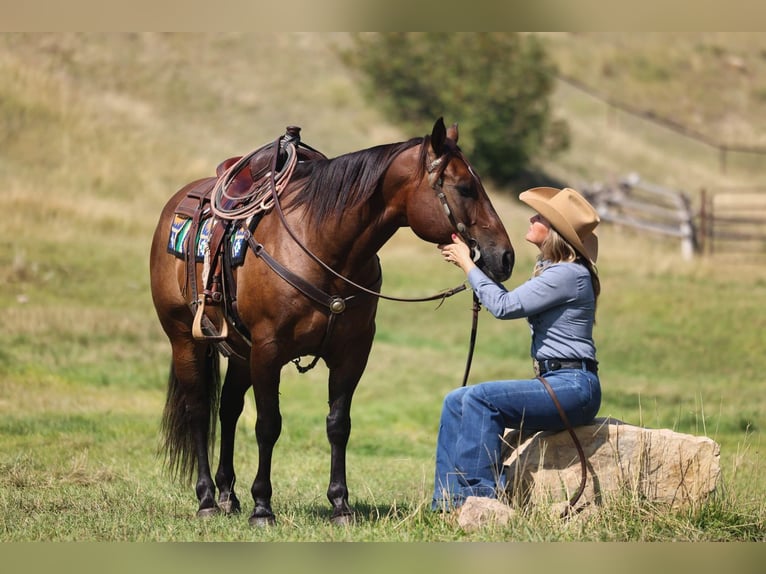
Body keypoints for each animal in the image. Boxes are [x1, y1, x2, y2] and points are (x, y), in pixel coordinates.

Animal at [149, 118, 514, 526]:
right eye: (465, 187)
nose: (505, 256)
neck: (323, 245)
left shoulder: (351, 352)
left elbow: (338, 424)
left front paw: (340, 504)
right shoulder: (268, 350)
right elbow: (268, 425)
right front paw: (263, 506)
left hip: (241, 352)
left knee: (228, 410)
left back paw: (229, 494)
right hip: (185, 339)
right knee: (199, 410)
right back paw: (208, 498)